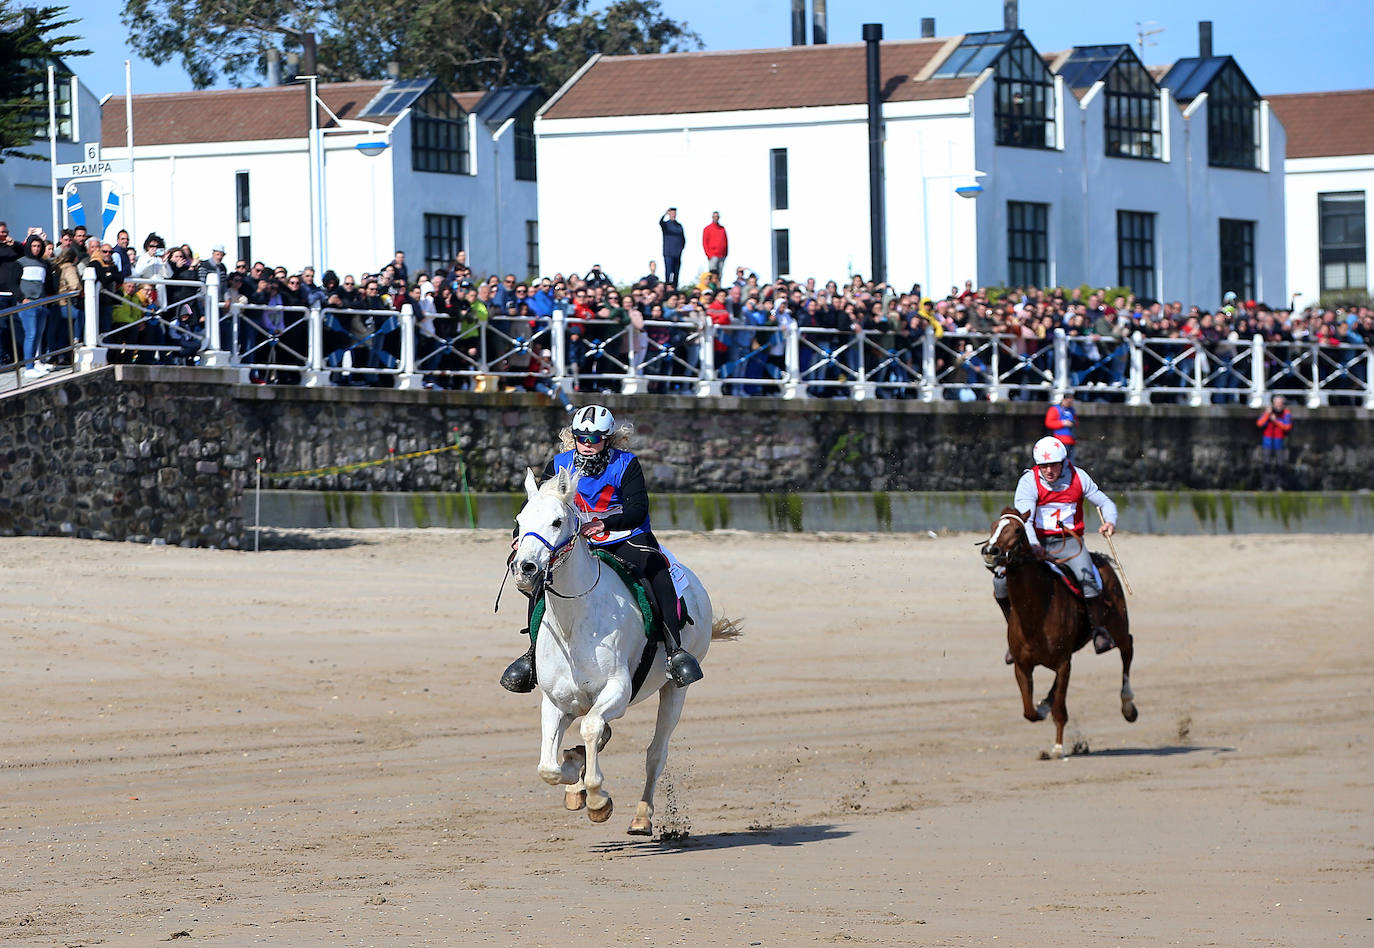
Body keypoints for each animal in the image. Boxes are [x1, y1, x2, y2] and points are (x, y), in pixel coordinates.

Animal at [511, 467, 736, 835]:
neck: (573, 623)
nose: (525, 568)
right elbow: (548, 767)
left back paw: (641, 816)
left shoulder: (617, 690)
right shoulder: (555, 702)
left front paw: (597, 800)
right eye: (520, 520)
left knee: (655, 752)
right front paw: (574, 772)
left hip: (675, 690)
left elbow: (590, 729)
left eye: (557, 522)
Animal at [978, 505, 1137, 758]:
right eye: (993, 526)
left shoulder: (1063, 664)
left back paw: (1128, 706)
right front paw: (1042, 708)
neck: (1035, 613)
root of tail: (1101, 558)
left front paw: (1058, 747)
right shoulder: (1023, 666)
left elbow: (1060, 709)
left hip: (1118, 625)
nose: (990, 551)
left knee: (1127, 649)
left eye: (1017, 530)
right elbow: (1029, 711)